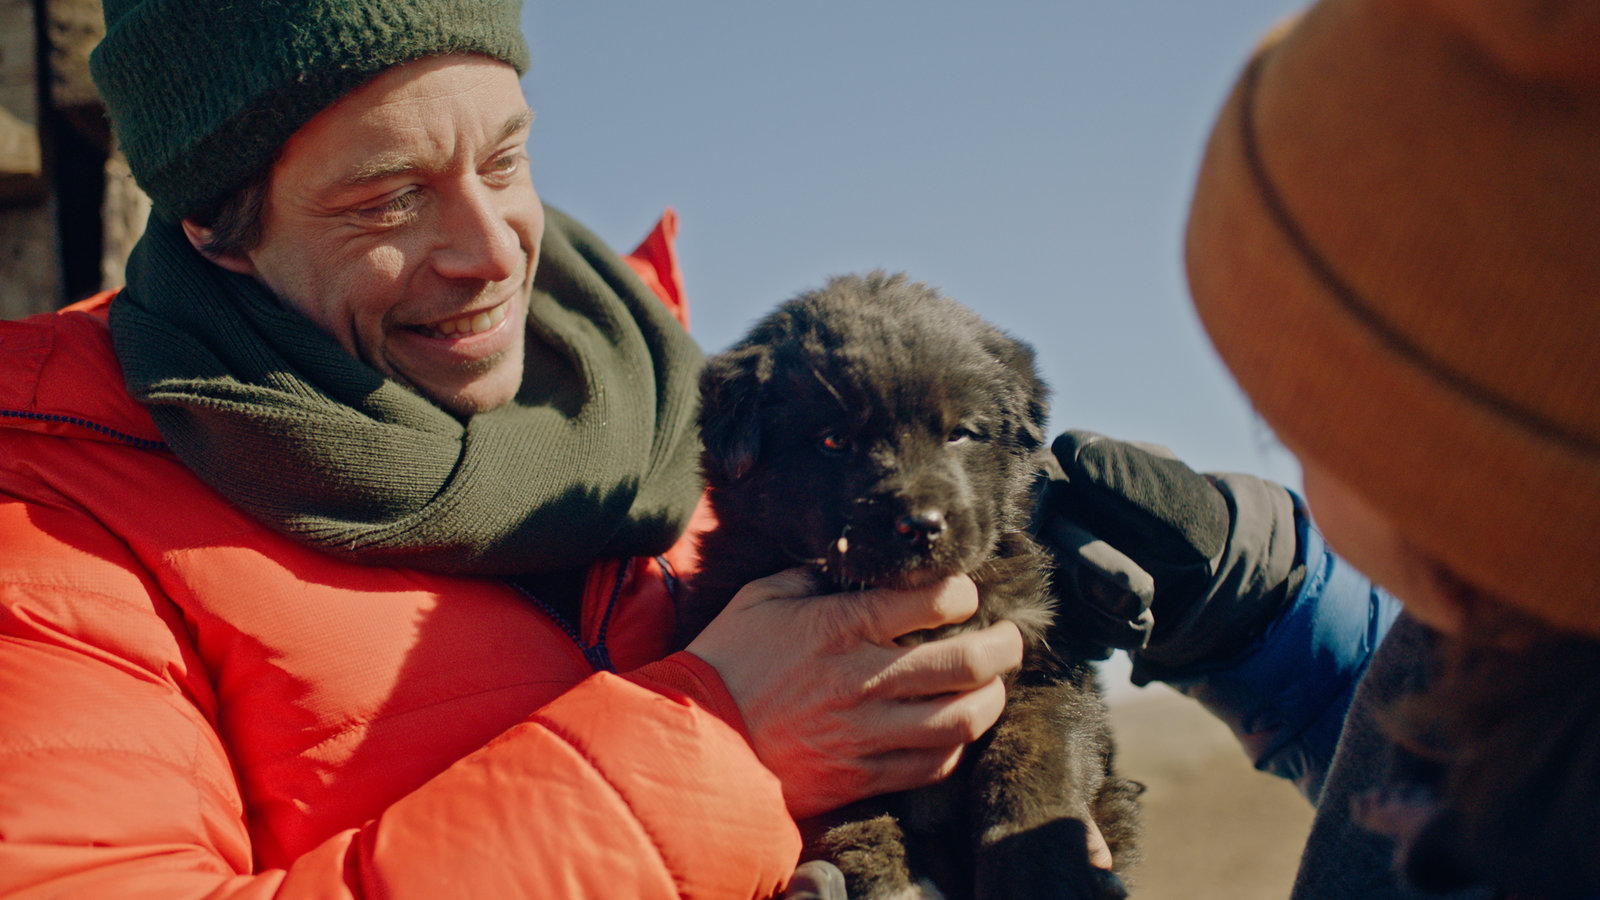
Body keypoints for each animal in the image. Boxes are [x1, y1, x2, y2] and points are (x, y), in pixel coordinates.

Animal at [681, 272, 1145, 896]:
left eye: (960, 434)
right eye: (834, 440)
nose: (922, 525)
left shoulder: (1043, 660)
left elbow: (1033, 760)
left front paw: (1039, 867)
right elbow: (849, 814)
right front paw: (889, 879)